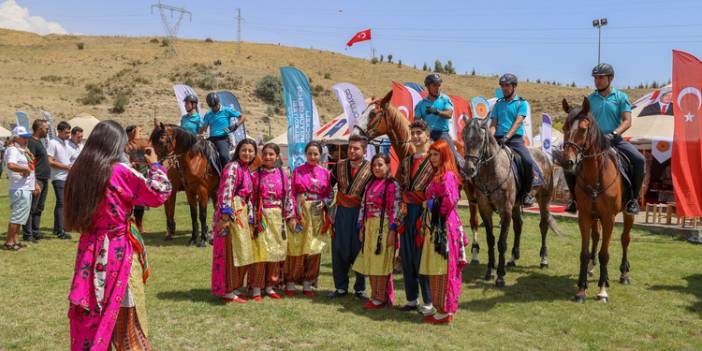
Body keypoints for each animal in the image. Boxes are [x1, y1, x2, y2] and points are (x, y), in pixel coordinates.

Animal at [352, 91, 484, 264]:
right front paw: (398, 259)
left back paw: (474, 254)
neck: (412, 152)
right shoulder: (402, 194)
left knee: (474, 219)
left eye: (373, 113)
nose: (354, 135)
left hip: (471, 189)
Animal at [462, 117, 560, 288]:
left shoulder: (505, 210)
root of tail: (544, 155)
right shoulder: (485, 209)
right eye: (464, 138)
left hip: (544, 200)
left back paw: (543, 260)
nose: (469, 169)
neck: (492, 171)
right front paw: (489, 272)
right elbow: (490, 240)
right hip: (516, 205)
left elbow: (501, 242)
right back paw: (513, 258)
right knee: (518, 226)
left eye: (480, 140)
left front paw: (500, 276)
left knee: (543, 226)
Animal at [560, 98, 640, 302]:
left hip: (628, 213)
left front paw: (603, 290)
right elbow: (584, 252)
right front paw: (581, 289)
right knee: (596, 238)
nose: (567, 162)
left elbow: (605, 254)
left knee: (625, 239)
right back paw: (591, 269)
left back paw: (623, 274)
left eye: (583, 129)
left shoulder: (609, 218)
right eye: (564, 127)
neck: (595, 174)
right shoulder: (585, 216)